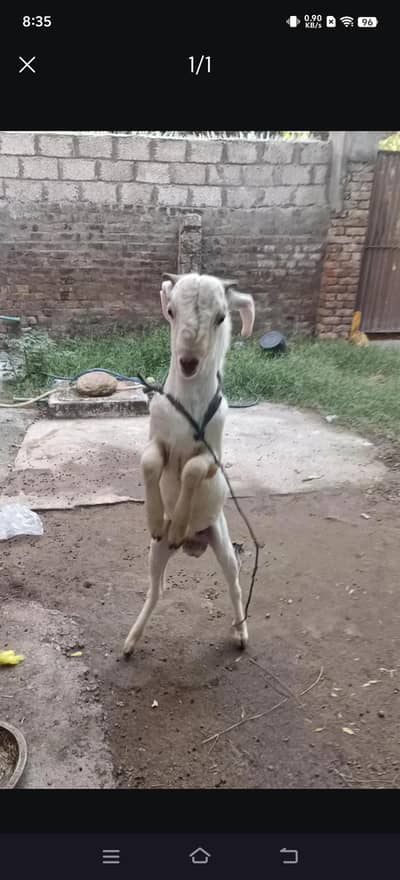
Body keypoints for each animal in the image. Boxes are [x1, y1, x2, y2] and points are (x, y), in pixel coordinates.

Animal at [123, 272, 255, 657]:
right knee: (157, 589)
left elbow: (192, 470)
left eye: (221, 317)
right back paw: (131, 641)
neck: (190, 406)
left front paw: (181, 521)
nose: (188, 361)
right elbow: (149, 462)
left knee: (234, 582)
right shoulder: (156, 437)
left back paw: (241, 634)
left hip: (222, 538)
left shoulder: (214, 456)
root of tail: (195, 547)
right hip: (156, 551)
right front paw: (155, 518)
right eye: (170, 310)